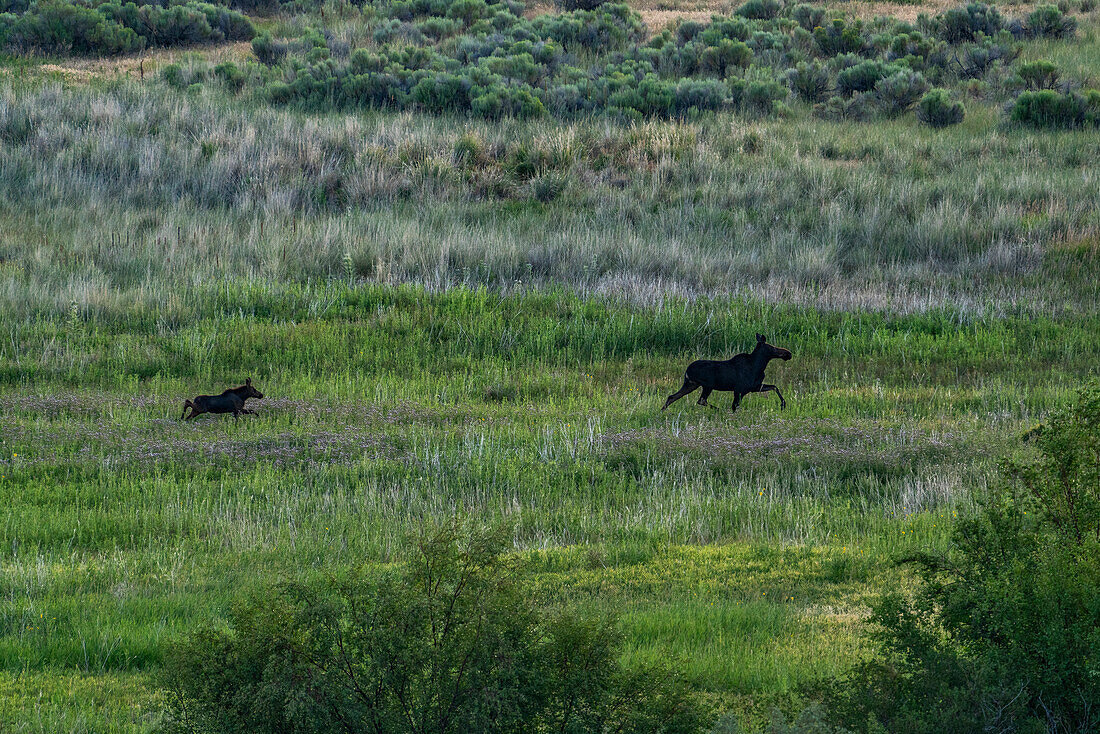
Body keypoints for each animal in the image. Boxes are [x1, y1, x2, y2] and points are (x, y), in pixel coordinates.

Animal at [660, 332, 792, 413]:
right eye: (772, 347)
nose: (788, 353)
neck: (758, 366)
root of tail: (687, 370)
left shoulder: (753, 387)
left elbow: (774, 387)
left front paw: (783, 404)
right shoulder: (740, 389)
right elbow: (734, 406)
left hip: (691, 384)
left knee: (672, 397)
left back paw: (662, 411)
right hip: (707, 385)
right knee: (701, 400)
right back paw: (720, 410)